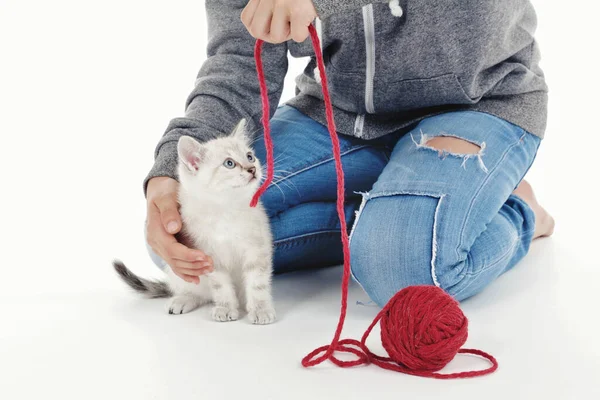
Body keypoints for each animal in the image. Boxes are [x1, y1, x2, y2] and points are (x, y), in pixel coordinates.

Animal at [113, 119, 276, 324]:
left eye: (250, 157)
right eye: (229, 163)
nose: (252, 169)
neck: (225, 209)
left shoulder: (257, 248)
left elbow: (257, 283)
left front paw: (261, 310)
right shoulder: (208, 257)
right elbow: (221, 286)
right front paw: (225, 307)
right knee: (200, 293)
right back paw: (183, 300)